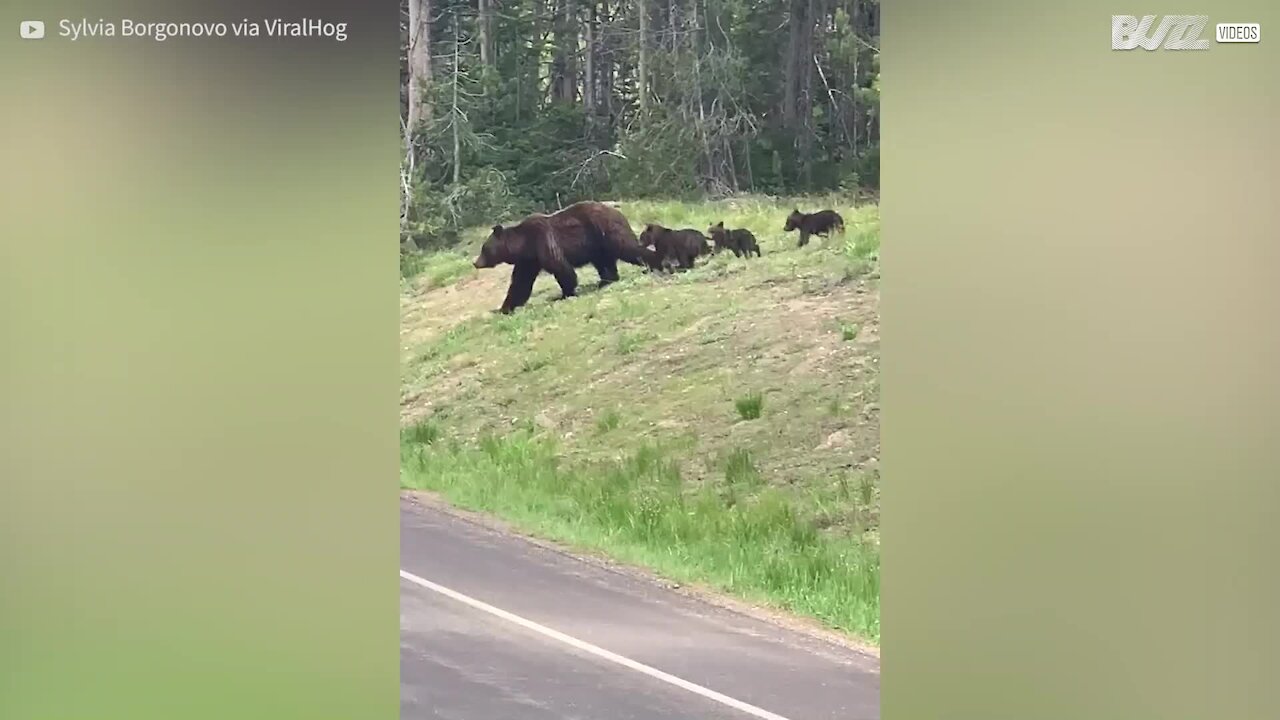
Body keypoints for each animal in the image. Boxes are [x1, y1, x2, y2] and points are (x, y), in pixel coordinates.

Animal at [476, 202, 665, 313]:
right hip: (597, 244)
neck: (524, 244)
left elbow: (561, 268)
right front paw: (504, 307)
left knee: (628, 248)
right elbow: (520, 282)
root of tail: (617, 211)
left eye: (484, 249)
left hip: (605, 230)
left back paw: (657, 263)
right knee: (604, 262)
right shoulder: (529, 260)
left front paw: (565, 293)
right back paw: (605, 281)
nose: (475, 262)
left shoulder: (543, 241)